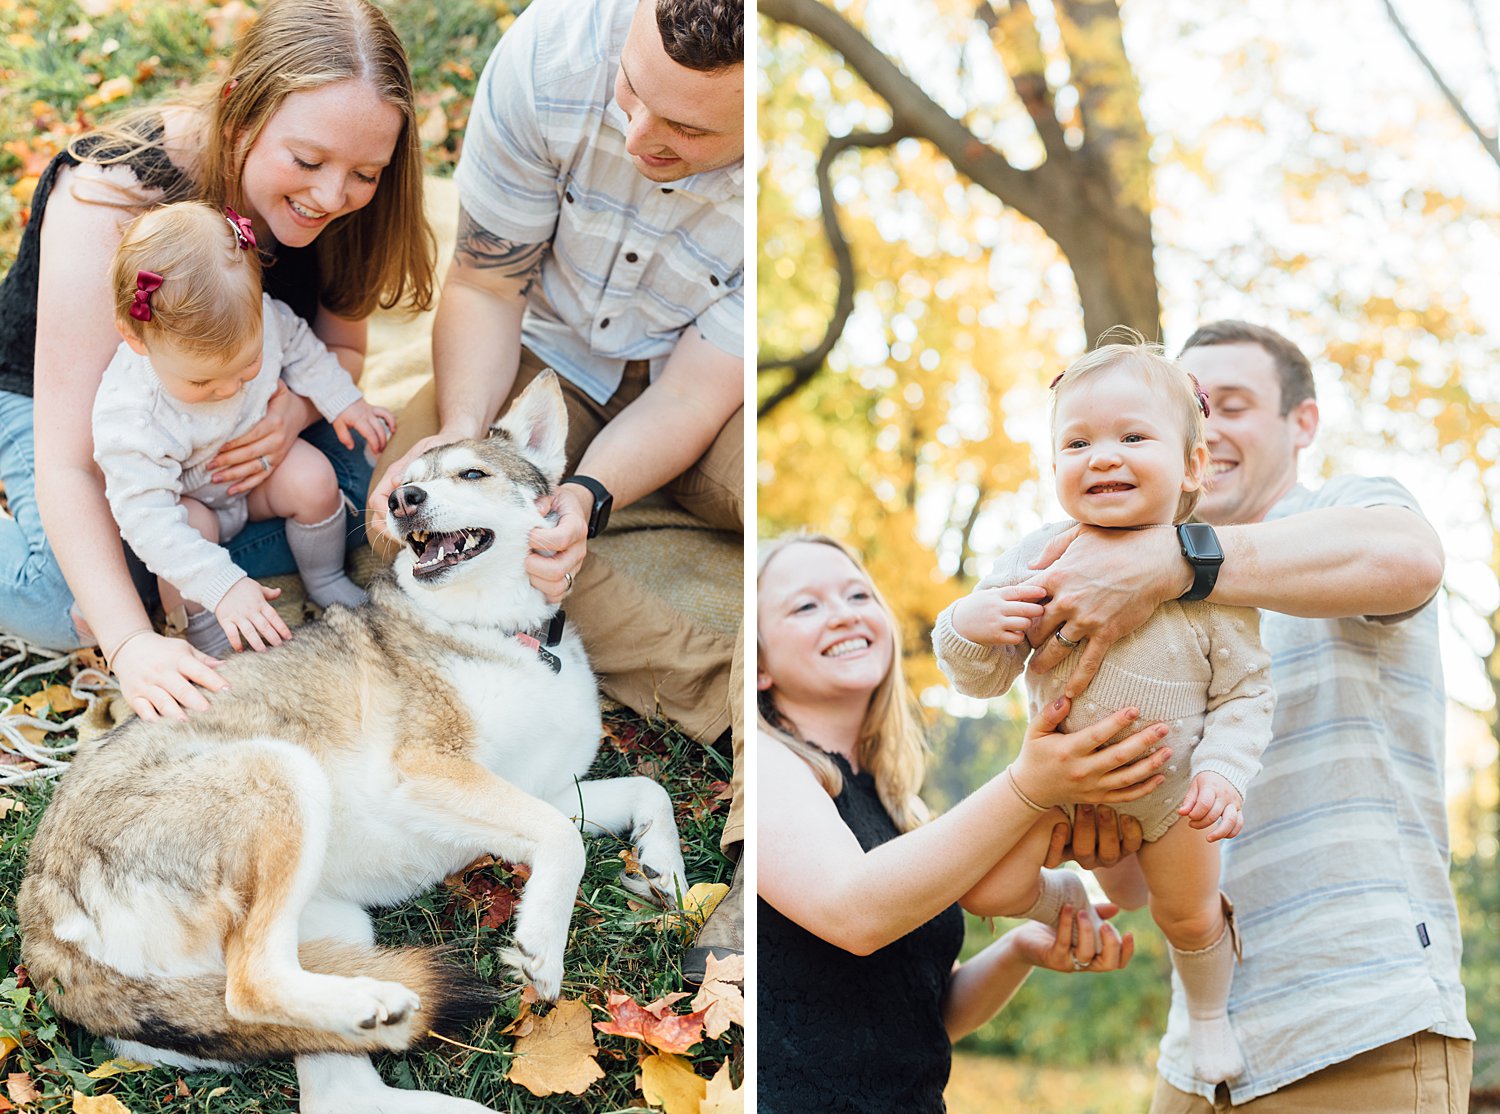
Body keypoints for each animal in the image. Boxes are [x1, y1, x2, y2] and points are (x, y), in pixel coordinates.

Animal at [19, 374, 687, 1114]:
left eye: (472, 474)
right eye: (407, 481)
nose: (402, 499)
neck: (499, 633)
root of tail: (40, 921)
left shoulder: (542, 792)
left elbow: (645, 792)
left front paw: (666, 872)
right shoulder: (431, 771)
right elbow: (565, 844)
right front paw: (543, 941)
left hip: (331, 926)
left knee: (337, 1085)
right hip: (282, 777)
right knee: (253, 986)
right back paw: (370, 1001)